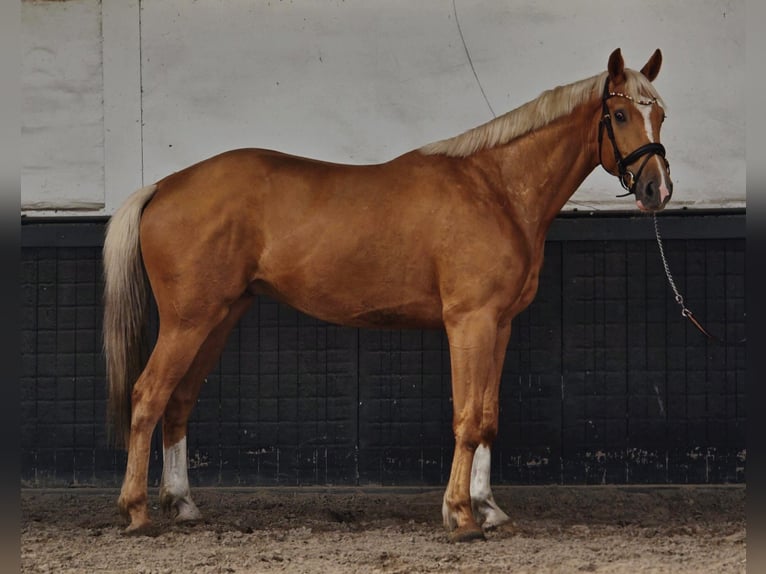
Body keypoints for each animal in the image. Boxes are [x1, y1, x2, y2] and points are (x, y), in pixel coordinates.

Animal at [103, 48, 672, 542]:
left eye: (661, 115)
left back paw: (182, 503)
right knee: (147, 395)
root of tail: (164, 186)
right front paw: (460, 514)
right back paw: (136, 510)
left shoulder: (500, 324)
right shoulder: (470, 321)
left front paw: (488, 508)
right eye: (620, 113)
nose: (656, 190)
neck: (496, 188)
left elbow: (488, 416)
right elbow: (467, 417)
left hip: (219, 317)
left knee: (178, 400)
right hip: (188, 322)